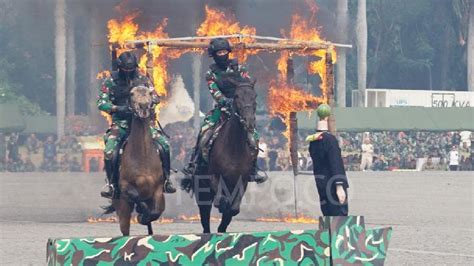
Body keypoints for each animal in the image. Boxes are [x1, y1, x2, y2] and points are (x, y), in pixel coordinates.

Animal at [105, 86, 167, 236]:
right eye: (131, 93)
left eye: (150, 93)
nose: (143, 106)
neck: (143, 156)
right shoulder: (125, 188)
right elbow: (137, 198)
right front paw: (141, 214)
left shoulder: (157, 190)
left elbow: (155, 212)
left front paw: (144, 216)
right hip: (121, 205)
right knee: (125, 229)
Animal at [193, 77, 260, 233]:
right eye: (236, 96)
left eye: (254, 96)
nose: (249, 122)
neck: (234, 148)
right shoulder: (215, 177)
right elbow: (221, 201)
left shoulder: (243, 180)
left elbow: (233, 209)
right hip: (202, 190)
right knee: (205, 215)